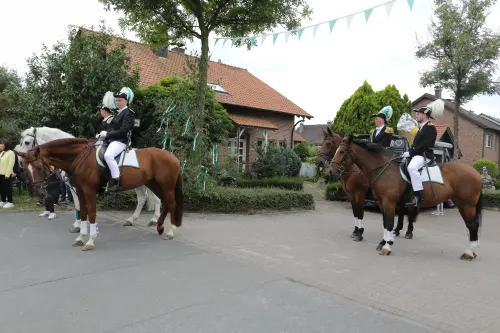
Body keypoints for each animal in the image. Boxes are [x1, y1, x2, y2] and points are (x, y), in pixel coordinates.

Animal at [17, 126, 160, 228]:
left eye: (27, 142)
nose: (20, 161)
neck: (76, 157)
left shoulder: (78, 187)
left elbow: (79, 205)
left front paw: (78, 225)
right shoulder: (76, 187)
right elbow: (79, 205)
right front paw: (81, 224)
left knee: (157, 198)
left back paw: (154, 219)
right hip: (139, 183)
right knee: (142, 198)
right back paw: (131, 219)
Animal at [18, 136, 186, 250]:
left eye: (39, 166)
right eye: (25, 169)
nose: (39, 194)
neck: (80, 158)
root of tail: (172, 156)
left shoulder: (89, 191)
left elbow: (91, 214)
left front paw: (90, 241)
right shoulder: (80, 191)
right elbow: (83, 213)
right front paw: (80, 238)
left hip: (166, 186)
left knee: (170, 203)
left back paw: (170, 231)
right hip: (153, 184)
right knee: (161, 202)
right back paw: (159, 227)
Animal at [330, 135, 482, 260]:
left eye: (342, 152)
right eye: (335, 150)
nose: (331, 171)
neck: (385, 169)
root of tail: (475, 171)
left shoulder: (388, 202)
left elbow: (389, 223)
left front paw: (387, 247)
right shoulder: (382, 202)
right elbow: (385, 223)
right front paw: (383, 242)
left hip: (467, 204)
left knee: (472, 225)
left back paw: (469, 253)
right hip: (462, 204)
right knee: (471, 224)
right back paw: (472, 252)